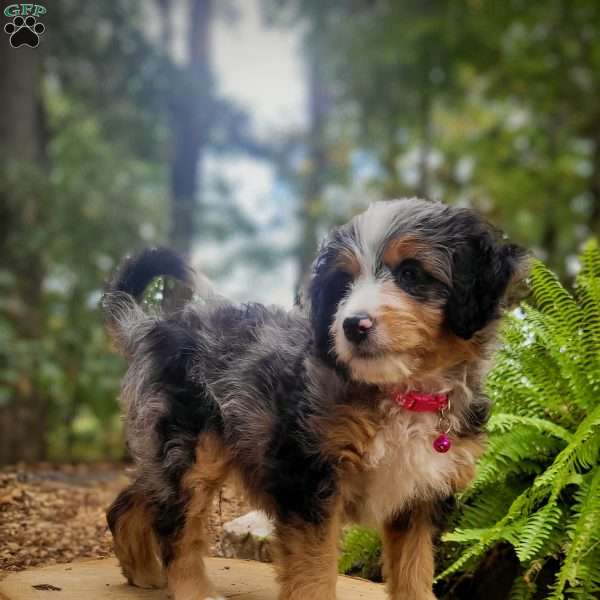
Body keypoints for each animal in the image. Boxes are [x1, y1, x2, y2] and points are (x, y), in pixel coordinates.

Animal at [103, 199, 524, 596]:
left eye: (410, 273)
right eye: (344, 283)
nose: (353, 325)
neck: (403, 393)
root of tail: (152, 327)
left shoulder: (419, 494)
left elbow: (414, 570)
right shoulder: (309, 478)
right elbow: (314, 571)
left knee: (130, 503)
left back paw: (145, 574)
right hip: (189, 448)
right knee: (177, 528)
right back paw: (193, 590)